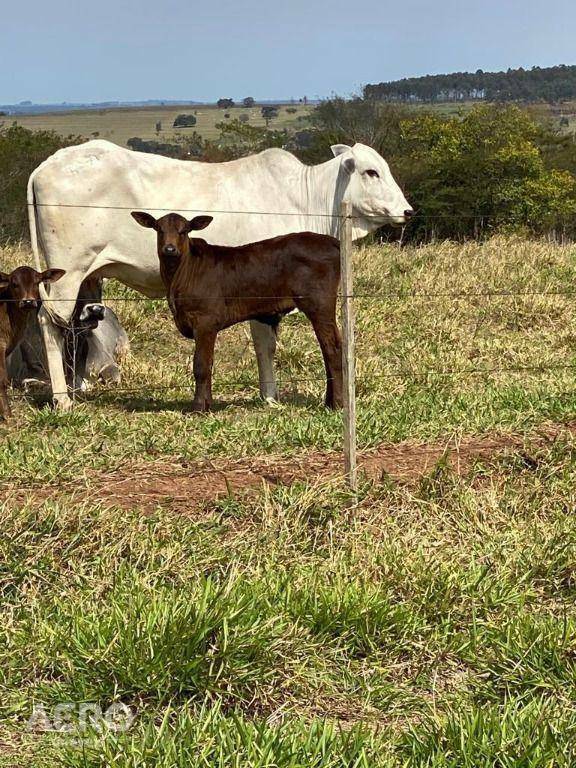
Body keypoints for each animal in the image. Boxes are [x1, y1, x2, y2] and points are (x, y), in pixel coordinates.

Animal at [133, 210, 342, 414]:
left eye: (184, 231)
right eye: (159, 229)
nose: (169, 249)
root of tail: (329, 240)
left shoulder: (205, 321)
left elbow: (201, 365)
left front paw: (198, 408)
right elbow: (209, 363)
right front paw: (207, 404)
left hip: (319, 304)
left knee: (333, 348)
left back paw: (337, 404)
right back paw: (329, 402)